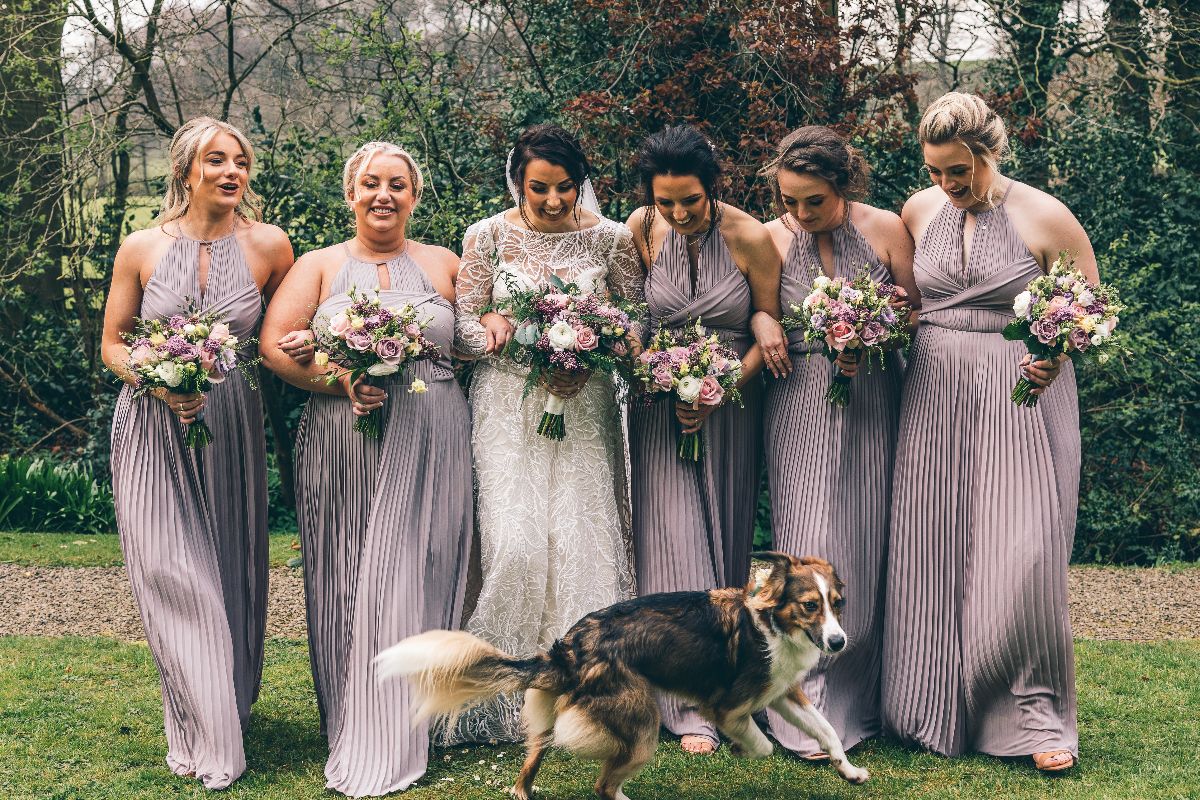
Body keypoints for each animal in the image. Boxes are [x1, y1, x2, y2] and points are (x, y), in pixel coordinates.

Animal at [375, 552, 868, 800]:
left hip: (551, 718)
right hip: (642, 722)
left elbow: (826, 731)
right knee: (604, 785)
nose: (838, 642)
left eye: (837, 603)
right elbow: (763, 745)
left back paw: (523, 790)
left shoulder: (783, 691)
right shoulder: (729, 706)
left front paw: (849, 771)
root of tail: (569, 648)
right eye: (810, 605)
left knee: (530, 765)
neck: (770, 623)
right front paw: (742, 749)